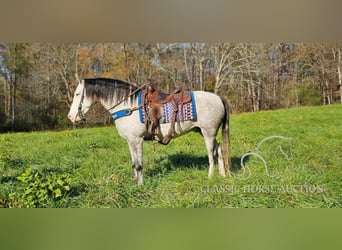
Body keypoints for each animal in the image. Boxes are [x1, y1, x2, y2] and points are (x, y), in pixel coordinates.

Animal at [68, 77, 231, 185]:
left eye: (77, 94)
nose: (71, 116)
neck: (128, 106)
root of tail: (219, 98)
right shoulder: (130, 141)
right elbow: (134, 163)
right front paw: (135, 183)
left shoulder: (137, 140)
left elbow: (139, 165)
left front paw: (141, 186)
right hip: (205, 132)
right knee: (219, 150)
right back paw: (222, 175)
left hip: (208, 133)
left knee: (211, 155)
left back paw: (210, 177)